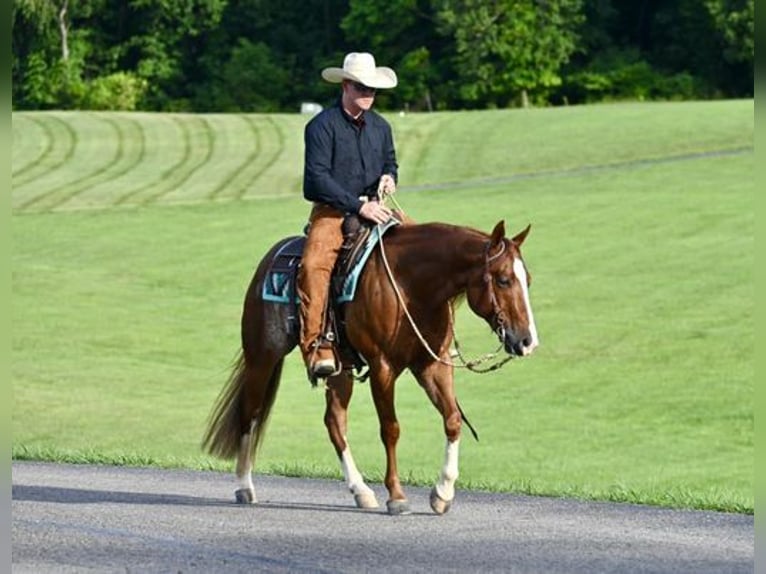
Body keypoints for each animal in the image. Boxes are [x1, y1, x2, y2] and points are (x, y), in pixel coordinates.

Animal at [204, 220, 540, 516]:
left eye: (527, 280)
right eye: (503, 279)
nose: (527, 341)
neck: (411, 285)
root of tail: (272, 256)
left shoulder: (432, 364)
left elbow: (453, 419)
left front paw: (442, 492)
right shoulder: (383, 367)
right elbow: (391, 429)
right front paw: (397, 496)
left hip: (338, 369)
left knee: (334, 421)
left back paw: (361, 490)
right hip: (262, 355)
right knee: (250, 412)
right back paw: (244, 486)